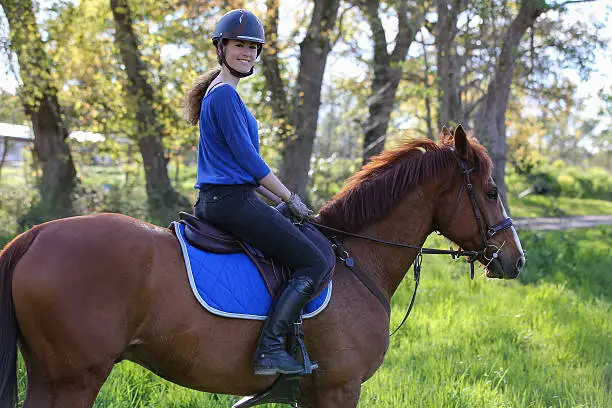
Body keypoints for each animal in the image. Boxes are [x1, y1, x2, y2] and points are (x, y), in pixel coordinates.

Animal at [0, 126, 524, 406]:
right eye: (491, 192)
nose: (514, 260)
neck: (358, 262)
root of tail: (35, 235)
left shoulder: (312, 393)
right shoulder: (340, 388)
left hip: (50, 374)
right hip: (76, 377)